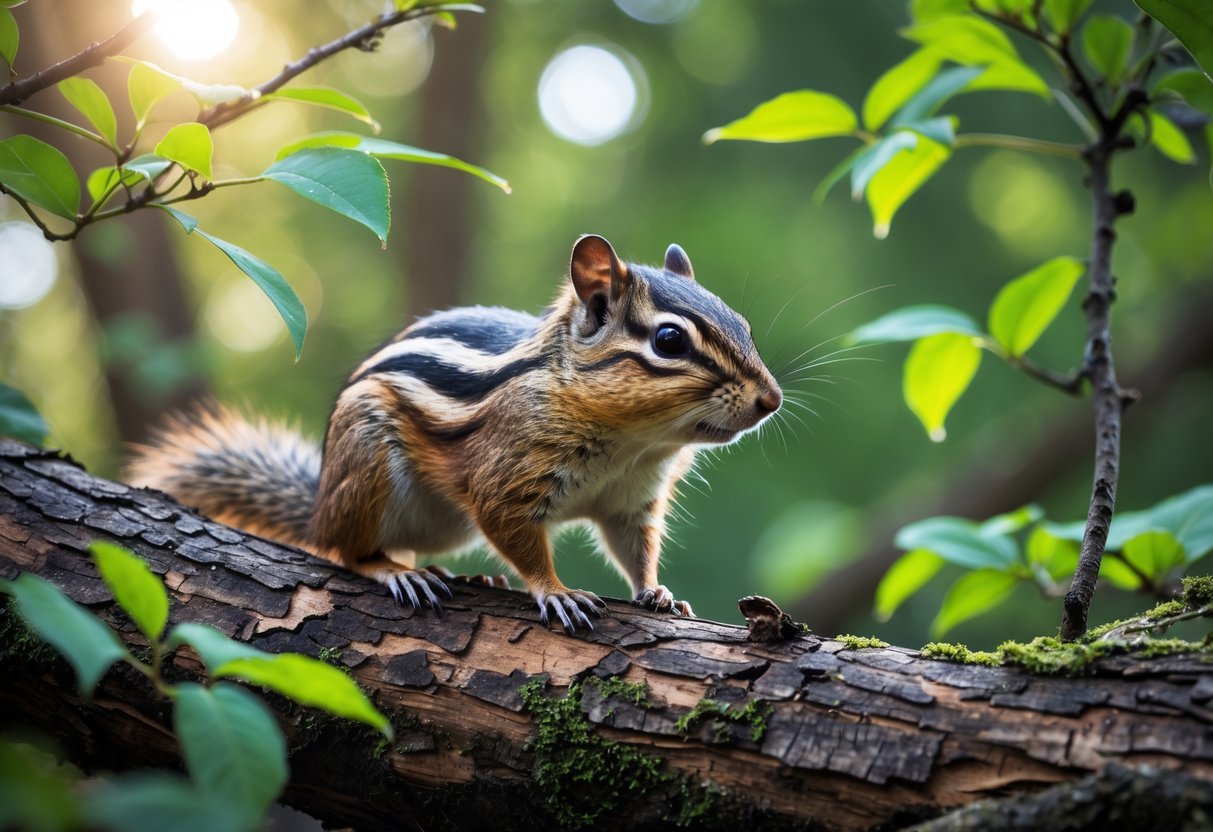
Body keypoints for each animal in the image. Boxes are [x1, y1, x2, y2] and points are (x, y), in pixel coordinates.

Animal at [127, 235, 782, 633]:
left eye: (742, 324)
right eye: (669, 341)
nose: (771, 401)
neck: (633, 442)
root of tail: (317, 508)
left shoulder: (631, 501)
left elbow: (635, 549)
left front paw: (656, 592)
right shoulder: (507, 478)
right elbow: (515, 532)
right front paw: (554, 591)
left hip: (443, 523)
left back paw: (466, 574)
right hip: (366, 463)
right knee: (347, 550)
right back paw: (397, 572)